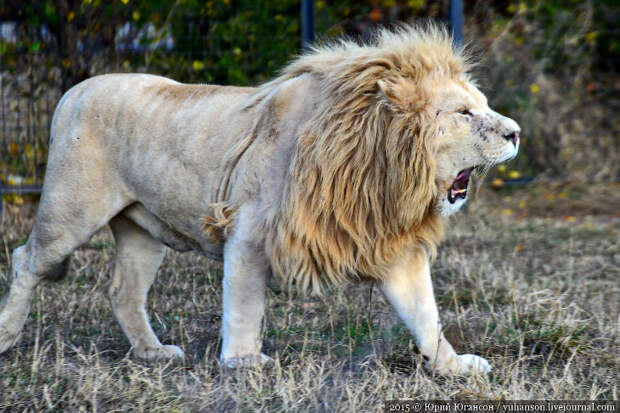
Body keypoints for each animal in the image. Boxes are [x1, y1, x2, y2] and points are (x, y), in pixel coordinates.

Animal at [0, 25, 520, 374]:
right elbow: (246, 302)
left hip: (140, 228)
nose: (516, 133)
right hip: (71, 210)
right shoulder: (249, 231)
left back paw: (152, 352)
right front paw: (243, 361)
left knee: (124, 290)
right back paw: (6, 336)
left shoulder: (389, 245)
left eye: (482, 106)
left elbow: (425, 314)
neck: (382, 173)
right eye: (464, 113)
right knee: (26, 259)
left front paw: (453, 366)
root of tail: (73, 91)